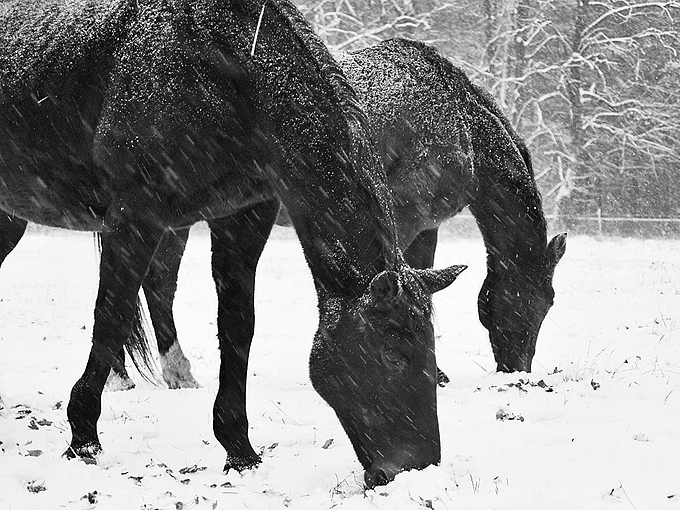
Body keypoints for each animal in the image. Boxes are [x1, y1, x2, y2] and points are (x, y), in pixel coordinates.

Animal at [0, 0, 464, 486]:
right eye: (392, 355)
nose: (417, 466)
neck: (221, 67)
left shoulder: (244, 217)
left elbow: (239, 325)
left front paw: (239, 450)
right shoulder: (135, 216)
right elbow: (111, 315)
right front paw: (83, 438)